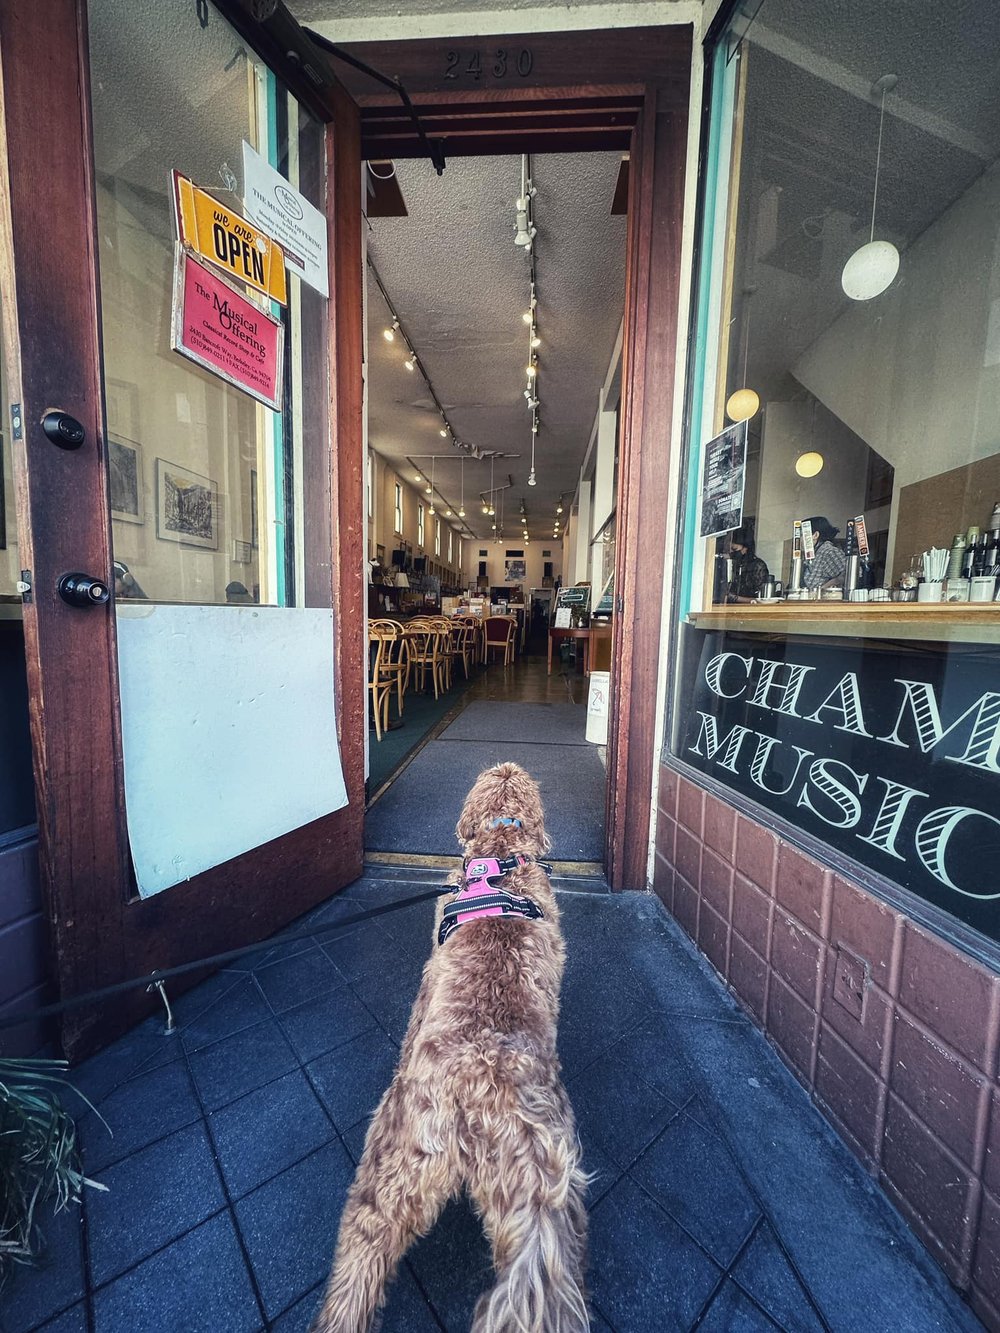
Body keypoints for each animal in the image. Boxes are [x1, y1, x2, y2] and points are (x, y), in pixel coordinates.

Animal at [313, 762, 592, 1333]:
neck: (501, 849)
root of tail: (478, 1083)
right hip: (538, 1192)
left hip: (391, 1164)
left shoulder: (428, 974)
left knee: (356, 1268)